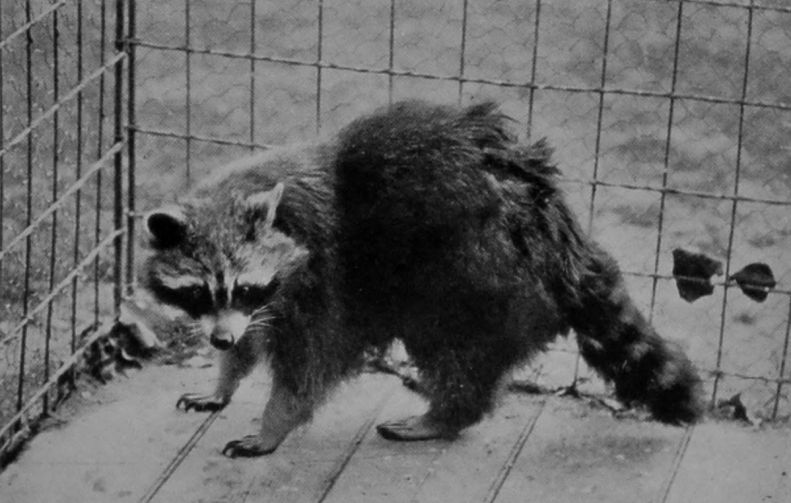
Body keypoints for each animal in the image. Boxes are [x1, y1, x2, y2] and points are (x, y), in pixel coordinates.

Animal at [142, 101, 703, 458]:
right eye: (198, 293)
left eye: (242, 286)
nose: (218, 339)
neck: (245, 193)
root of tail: (553, 222)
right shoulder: (262, 302)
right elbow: (252, 337)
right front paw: (224, 377)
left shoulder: (322, 278)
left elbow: (311, 363)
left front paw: (274, 421)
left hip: (478, 270)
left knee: (451, 349)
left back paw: (447, 414)